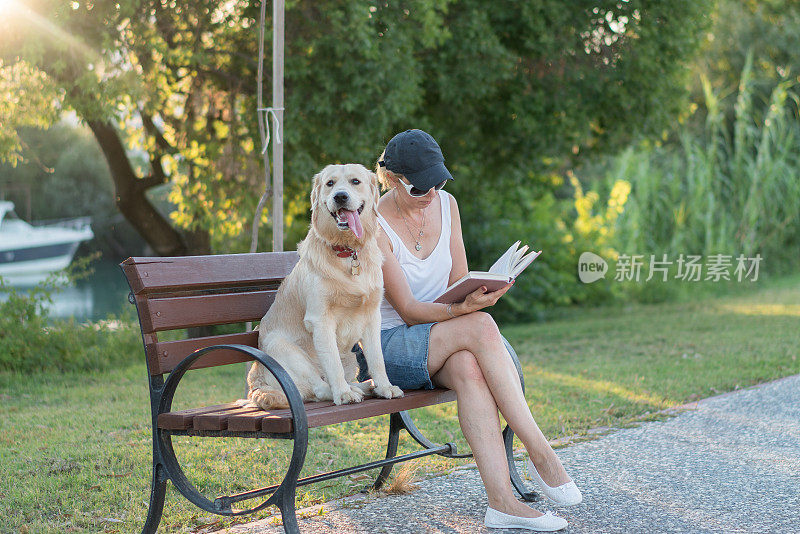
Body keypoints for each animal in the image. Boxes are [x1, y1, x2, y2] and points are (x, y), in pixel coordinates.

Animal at [247, 164, 404, 410]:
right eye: (330, 183)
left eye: (355, 181)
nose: (340, 196)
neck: (348, 252)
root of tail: (256, 383)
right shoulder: (320, 319)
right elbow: (332, 363)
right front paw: (343, 393)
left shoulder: (372, 316)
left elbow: (377, 359)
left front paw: (385, 386)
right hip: (281, 347)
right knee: (317, 388)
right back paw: (346, 390)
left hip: (350, 357)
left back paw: (364, 386)